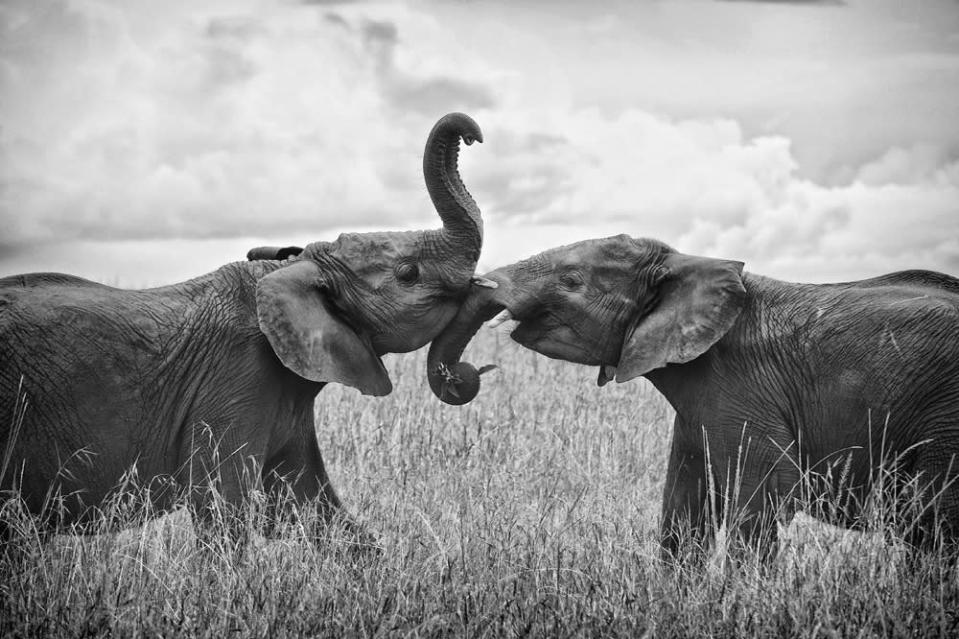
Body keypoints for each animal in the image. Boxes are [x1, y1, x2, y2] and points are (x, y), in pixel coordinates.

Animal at [1, 112, 496, 544]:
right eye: (409, 273)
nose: (475, 135)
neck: (290, 266)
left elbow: (316, 508)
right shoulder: (236, 380)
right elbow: (224, 511)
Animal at [428, 235, 959, 556]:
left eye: (572, 282)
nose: (470, 372)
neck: (682, 262)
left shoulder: (743, 388)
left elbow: (760, 501)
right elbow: (683, 512)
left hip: (944, 423)